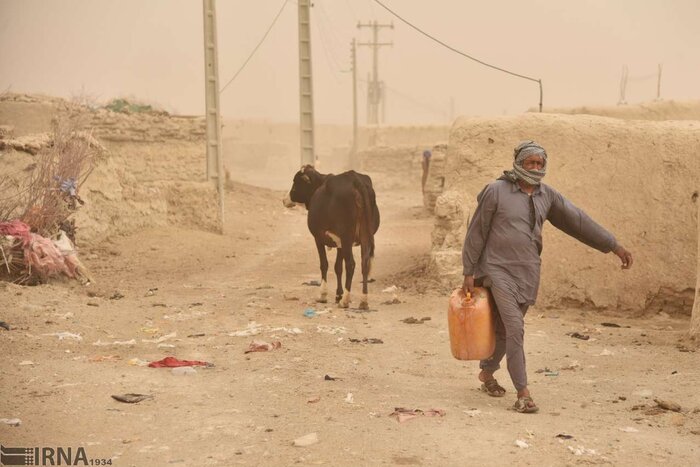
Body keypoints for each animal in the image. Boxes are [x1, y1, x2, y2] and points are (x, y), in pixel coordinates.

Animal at [284, 166, 380, 308]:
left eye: (295, 182)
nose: (284, 199)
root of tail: (354, 179)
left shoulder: (318, 238)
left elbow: (324, 264)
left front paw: (324, 295)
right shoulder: (339, 243)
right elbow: (338, 267)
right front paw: (338, 294)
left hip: (347, 237)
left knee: (351, 264)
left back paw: (345, 301)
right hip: (365, 236)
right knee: (365, 263)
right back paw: (363, 301)